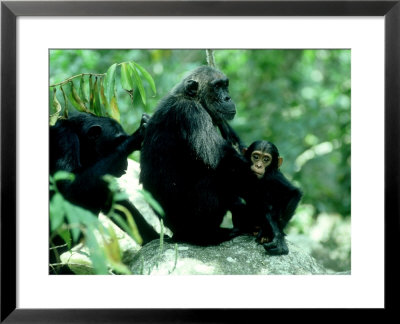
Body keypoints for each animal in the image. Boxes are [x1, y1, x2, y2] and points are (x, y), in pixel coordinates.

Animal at [139, 65, 248, 243]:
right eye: (217, 86)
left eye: (225, 85)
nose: (227, 97)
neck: (192, 98)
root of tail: (176, 235)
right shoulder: (192, 114)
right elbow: (223, 159)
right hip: (193, 222)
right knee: (216, 177)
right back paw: (214, 233)